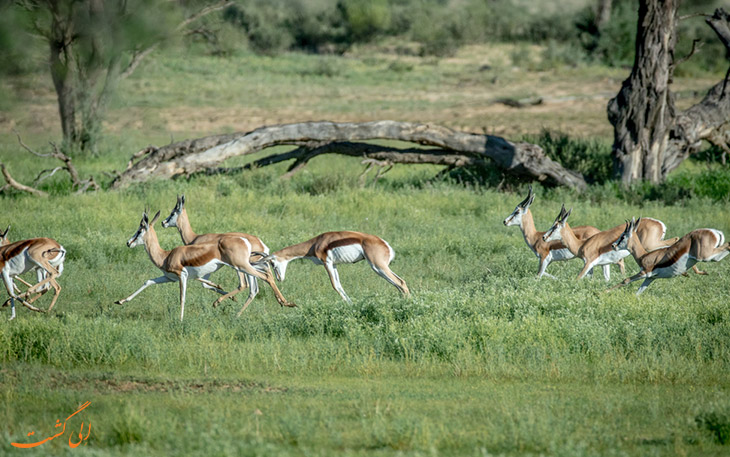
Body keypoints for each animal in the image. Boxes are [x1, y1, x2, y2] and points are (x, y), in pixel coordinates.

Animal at [114, 210, 288, 320]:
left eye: (139, 230)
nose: (128, 242)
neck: (166, 256)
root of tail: (245, 240)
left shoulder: (182, 276)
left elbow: (182, 297)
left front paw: (180, 320)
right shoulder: (169, 278)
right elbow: (148, 281)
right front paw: (120, 301)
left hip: (241, 266)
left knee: (262, 277)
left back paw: (285, 303)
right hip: (245, 265)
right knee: (259, 280)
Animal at [161, 194, 294, 308]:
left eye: (172, 213)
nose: (163, 222)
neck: (194, 237)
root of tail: (260, 243)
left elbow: (203, 282)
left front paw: (227, 296)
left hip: (246, 266)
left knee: (257, 281)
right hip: (253, 265)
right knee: (265, 279)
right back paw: (283, 302)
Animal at [264, 232, 410, 302]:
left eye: (272, 263)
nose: (279, 279)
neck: (315, 243)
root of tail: (385, 245)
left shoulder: (327, 263)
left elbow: (335, 286)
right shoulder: (334, 265)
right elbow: (339, 285)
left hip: (378, 267)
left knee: (400, 282)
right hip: (381, 268)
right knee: (399, 284)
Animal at [544, 206, 680, 280]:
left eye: (555, 226)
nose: (544, 237)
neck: (582, 244)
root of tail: (660, 224)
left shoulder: (588, 263)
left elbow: (578, 278)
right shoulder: (604, 264)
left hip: (651, 245)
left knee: (675, 240)